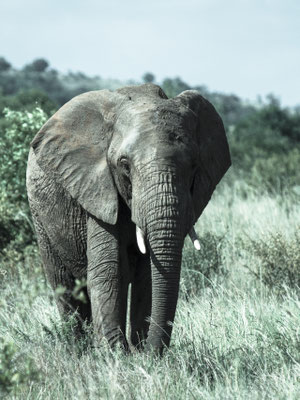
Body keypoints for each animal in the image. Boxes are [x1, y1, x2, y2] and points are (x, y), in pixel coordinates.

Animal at [27, 83, 231, 354]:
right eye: (124, 165)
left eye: (194, 166)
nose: (151, 353)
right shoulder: (97, 189)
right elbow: (110, 270)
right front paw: (115, 355)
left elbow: (148, 277)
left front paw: (139, 351)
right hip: (40, 216)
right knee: (64, 284)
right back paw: (78, 349)